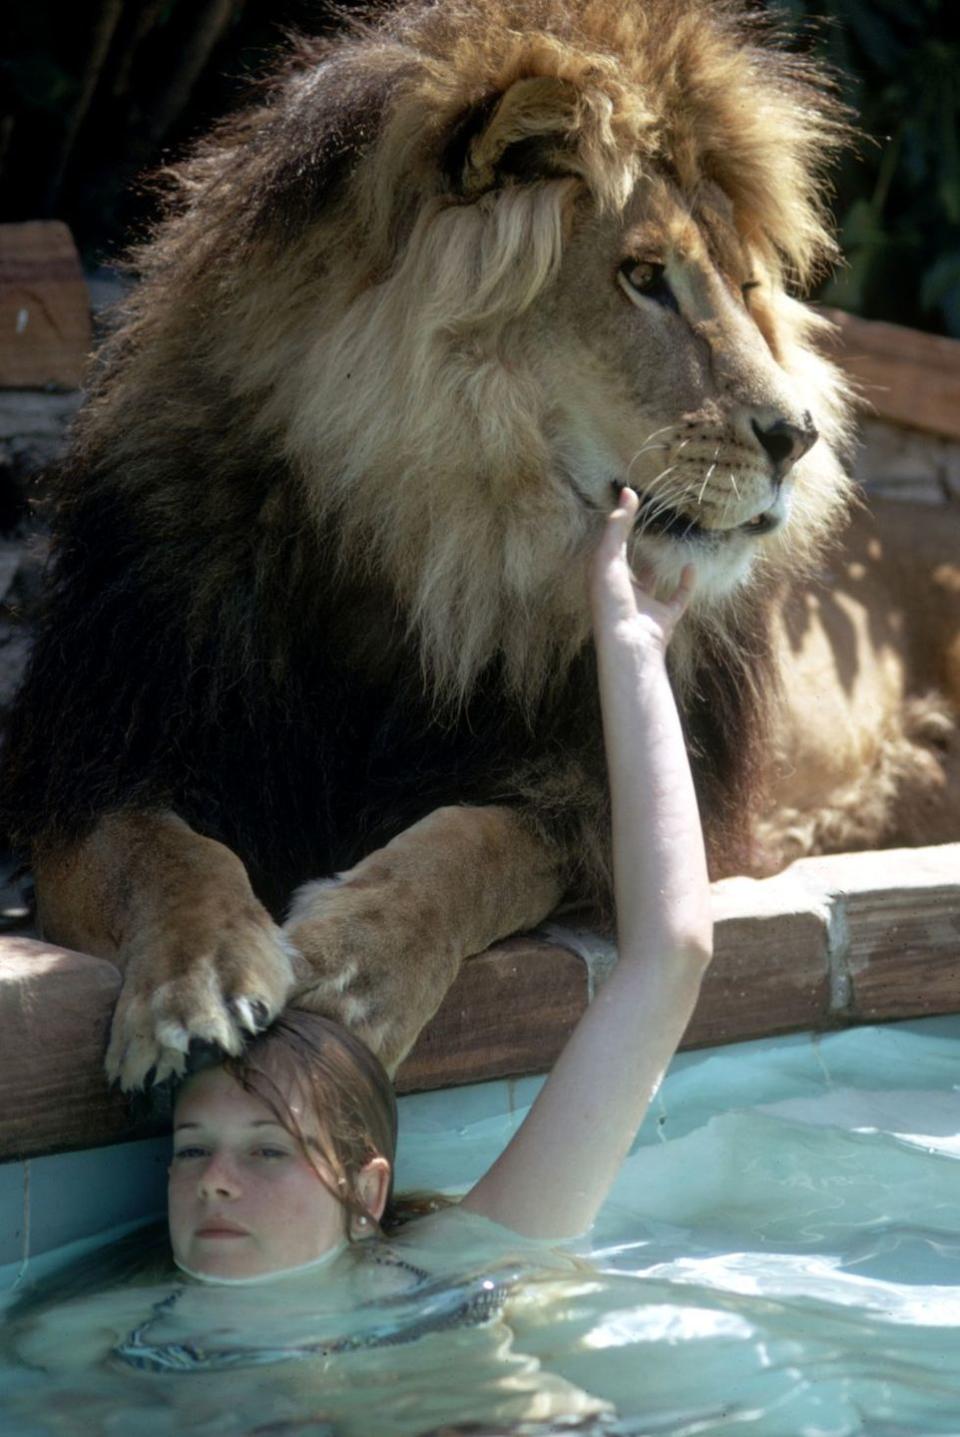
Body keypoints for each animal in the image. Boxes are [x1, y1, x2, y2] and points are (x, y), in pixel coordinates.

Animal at [3, 0, 954, 1080]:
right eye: (643, 277)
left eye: (748, 287)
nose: (801, 436)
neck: (430, 546)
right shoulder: (97, 752)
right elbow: (157, 848)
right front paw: (194, 982)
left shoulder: (594, 803)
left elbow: (478, 843)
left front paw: (357, 956)